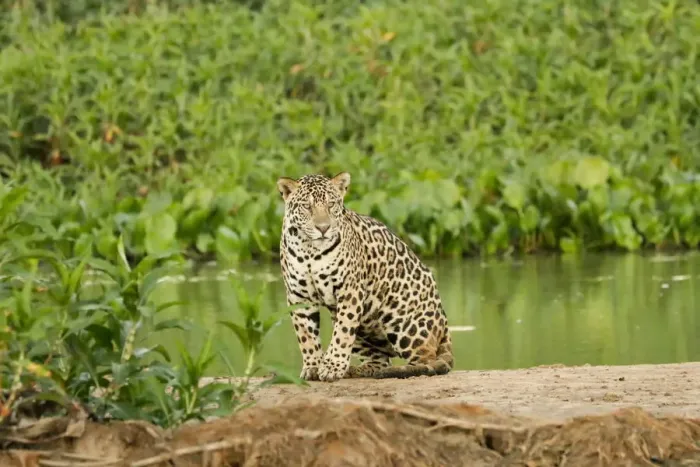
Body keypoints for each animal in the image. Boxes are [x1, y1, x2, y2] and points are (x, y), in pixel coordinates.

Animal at [276, 171, 454, 382]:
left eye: (331, 204)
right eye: (306, 206)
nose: (323, 228)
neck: (310, 250)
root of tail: (444, 323)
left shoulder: (349, 291)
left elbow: (342, 333)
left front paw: (331, 367)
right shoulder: (298, 296)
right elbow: (306, 335)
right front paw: (313, 366)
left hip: (402, 321)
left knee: (428, 360)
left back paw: (403, 371)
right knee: (380, 360)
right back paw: (357, 370)